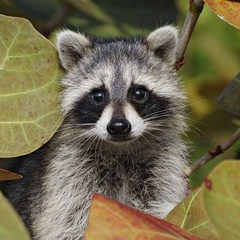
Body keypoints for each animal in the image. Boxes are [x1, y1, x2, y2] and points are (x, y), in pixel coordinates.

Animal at [0, 25, 188, 239]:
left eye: (139, 93)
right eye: (98, 95)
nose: (118, 126)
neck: (120, 149)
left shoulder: (161, 168)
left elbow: (157, 206)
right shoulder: (68, 173)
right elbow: (68, 222)